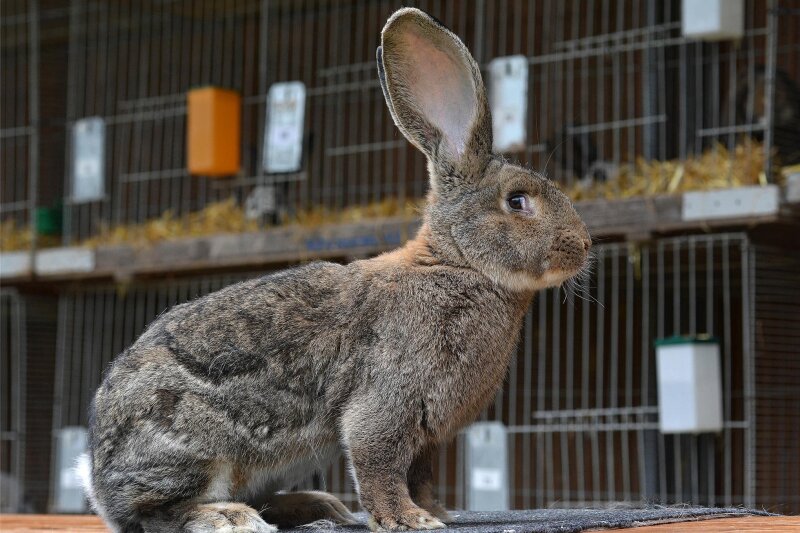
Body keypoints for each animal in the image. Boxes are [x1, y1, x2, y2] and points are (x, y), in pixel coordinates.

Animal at [83, 8, 588, 532]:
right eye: (517, 201)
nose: (583, 246)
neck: (457, 262)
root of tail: (98, 480)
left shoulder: (426, 438)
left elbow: (420, 476)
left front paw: (436, 512)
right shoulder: (388, 402)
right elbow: (379, 463)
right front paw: (411, 520)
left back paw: (316, 505)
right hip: (192, 449)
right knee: (156, 514)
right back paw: (229, 516)